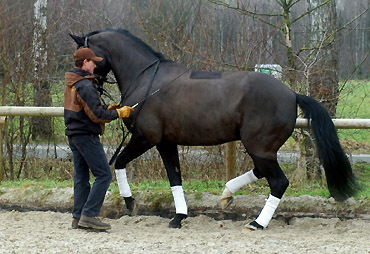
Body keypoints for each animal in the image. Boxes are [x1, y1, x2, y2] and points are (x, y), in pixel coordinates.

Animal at [69, 27, 358, 230]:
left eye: (82, 53)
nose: (87, 81)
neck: (147, 79)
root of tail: (291, 94)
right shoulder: (166, 142)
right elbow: (175, 178)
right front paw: (179, 217)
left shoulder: (146, 138)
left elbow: (119, 162)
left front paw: (130, 202)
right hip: (262, 149)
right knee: (261, 173)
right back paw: (227, 194)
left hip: (260, 147)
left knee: (278, 182)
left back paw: (257, 223)